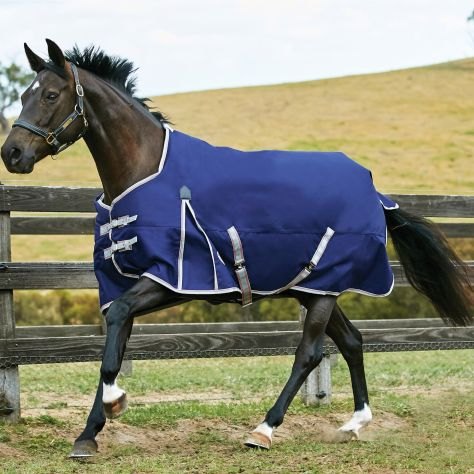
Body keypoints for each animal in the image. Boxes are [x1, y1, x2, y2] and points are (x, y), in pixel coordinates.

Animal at [0, 41, 470, 460]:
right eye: (22, 94)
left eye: (51, 94)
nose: (13, 153)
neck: (147, 172)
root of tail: (374, 191)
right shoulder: (126, 283)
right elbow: (114, 345)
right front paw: (88, 435)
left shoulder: (170, 279)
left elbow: (114, 333)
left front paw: (115, 404)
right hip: (313, 289)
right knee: (353, 341)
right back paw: (355, 422)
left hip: (323, 290)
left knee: (309, 353)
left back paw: (263, 430)